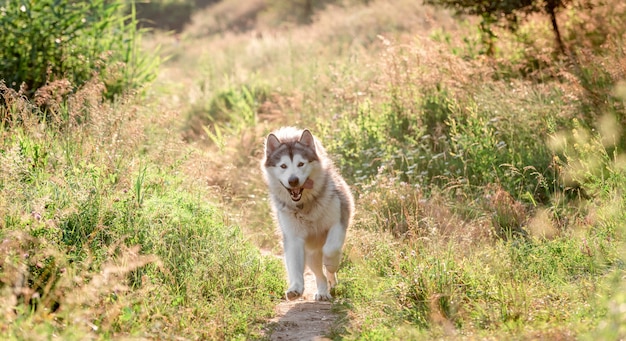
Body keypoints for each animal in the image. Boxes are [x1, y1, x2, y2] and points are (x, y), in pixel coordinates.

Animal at [260, 126, 354, 298]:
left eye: (301, 164)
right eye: (283, 166)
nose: (293, 180)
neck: (305, 205)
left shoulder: (338, 223)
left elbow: (330, 250)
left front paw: (331, 264)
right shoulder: (293, 238)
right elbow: (295, 266)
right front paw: (295, 288)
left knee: (326, 267)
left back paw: (332, 282)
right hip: (310, 253)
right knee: (318, 273)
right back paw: (323, 291)